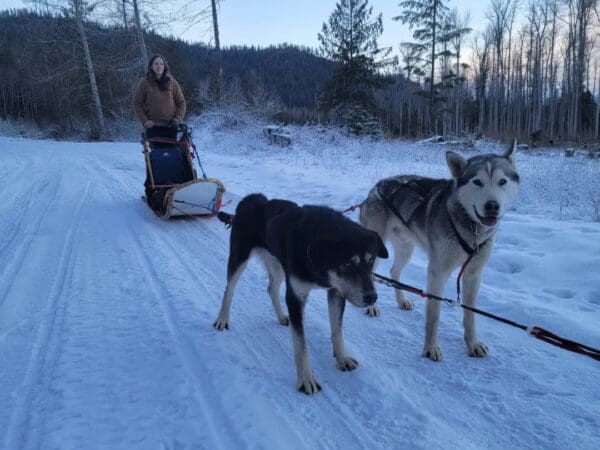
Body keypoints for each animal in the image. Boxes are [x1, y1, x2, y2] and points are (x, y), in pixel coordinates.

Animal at [216, 193, 390, 394]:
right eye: (347, 263)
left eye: (371, 260)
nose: (372, 297)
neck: (315, 255)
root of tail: (251, 200)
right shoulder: (296, 297)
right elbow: (301, 345)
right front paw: (306, 378)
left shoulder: (336, 292)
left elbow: (337, 331)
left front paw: (342, 358)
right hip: (239, 259)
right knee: (229, 289)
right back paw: (222, 319)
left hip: (278, 266)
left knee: (271, 288)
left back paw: (282, 316)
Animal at [358, 141, 516, 362]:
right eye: (477, 182)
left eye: (502, 181)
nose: (492, 206)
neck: (471, 229)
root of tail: (376, 188)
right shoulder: (437, 273)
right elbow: (434, 315)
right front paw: (431, 348)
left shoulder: (473, 275)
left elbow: (470, 315)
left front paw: (472, 344)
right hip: (374, 251)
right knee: (371, 274)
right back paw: (371, 305)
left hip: (406, 249)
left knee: (394, 272)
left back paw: (402, 300)